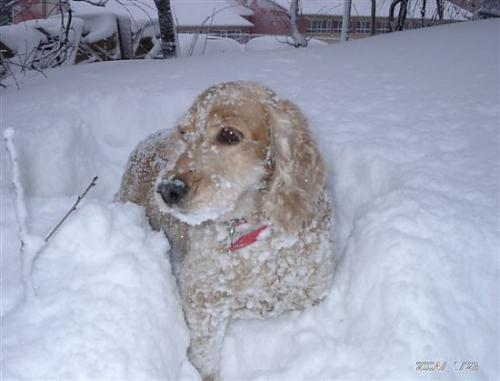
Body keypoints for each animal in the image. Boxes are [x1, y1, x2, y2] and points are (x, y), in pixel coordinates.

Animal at [118, 81, 336, 380]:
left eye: (229, 134)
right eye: (184, 133)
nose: (167, 189)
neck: (255, 236)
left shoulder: (313, 293)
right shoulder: (202, 301)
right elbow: (204, 358)